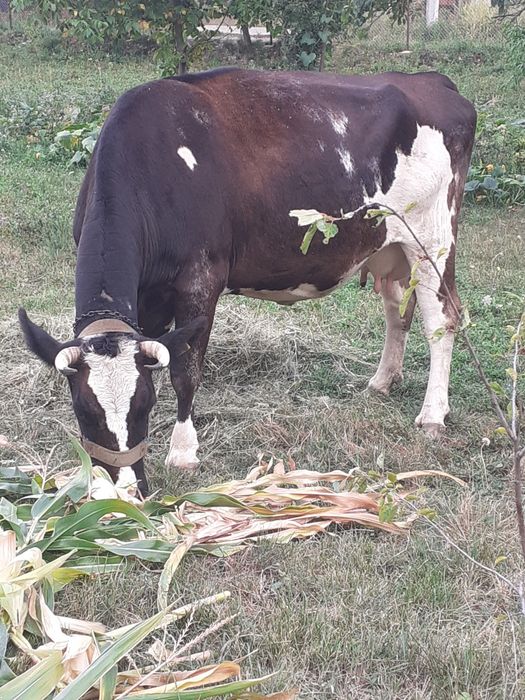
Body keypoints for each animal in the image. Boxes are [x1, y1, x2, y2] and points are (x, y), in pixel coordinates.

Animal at [19, 67, 476, 495]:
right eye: (84, 411)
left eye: (141, 405)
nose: (128, 488)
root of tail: (433, 81)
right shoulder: (147, 298)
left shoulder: (201, 279)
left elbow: (185, 370)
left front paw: (183, 452)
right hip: (389, 246)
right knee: (398, 312)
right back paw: (382, 382)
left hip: (432, 238)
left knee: (442, 320)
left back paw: (432, 414)